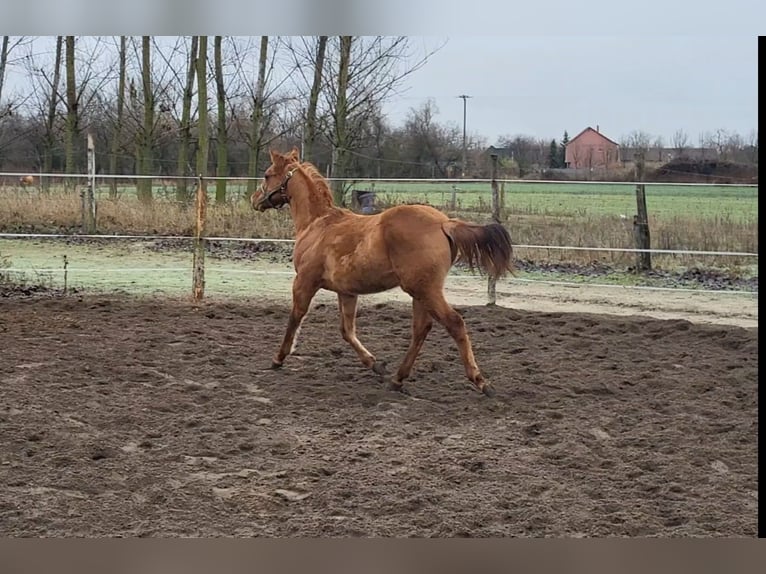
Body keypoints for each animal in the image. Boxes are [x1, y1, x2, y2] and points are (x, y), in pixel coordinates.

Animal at [251, 148, 515, 397]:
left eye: (267, 174)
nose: (255, 200)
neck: (318, 224)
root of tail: (444, 223)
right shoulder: (347, 292)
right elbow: (347, 330)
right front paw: (374, 364)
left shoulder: (304, 281)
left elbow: (295, 317)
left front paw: (278, 359)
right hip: (420, 292)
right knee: (421, 329)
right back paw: (397, 379)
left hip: (425, 290)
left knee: (454, 323)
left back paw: (481, 382)